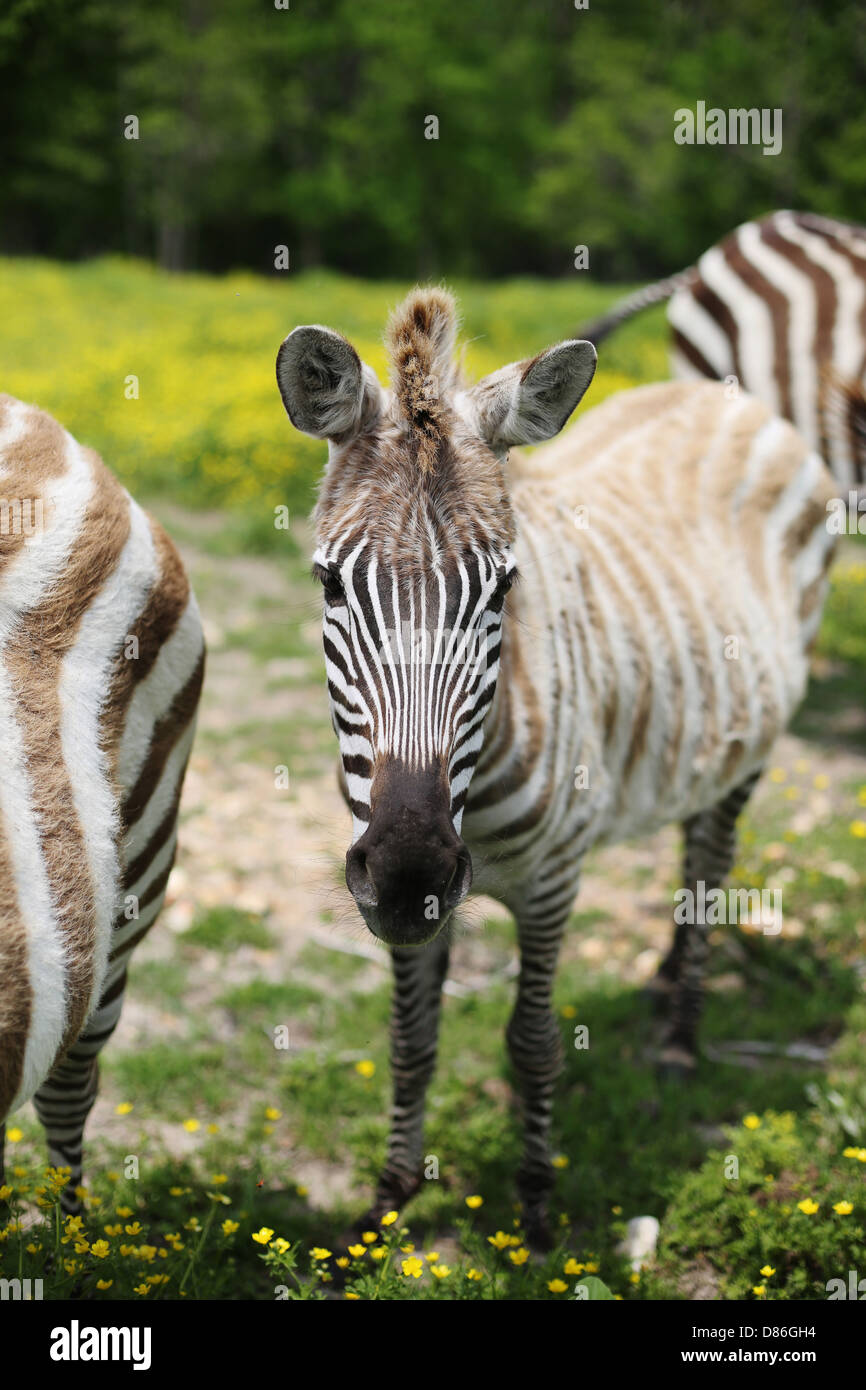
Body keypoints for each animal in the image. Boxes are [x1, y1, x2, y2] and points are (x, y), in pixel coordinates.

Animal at [276, 288, 837, 1246]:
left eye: (503, 589)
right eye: (329, 585)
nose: (407, 871)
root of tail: (730, 396)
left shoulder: (553, 883)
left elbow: (533, 1043)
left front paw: (537, 1208)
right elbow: (410, 1041)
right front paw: (390, 1200)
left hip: (754, 749)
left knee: (711, 860)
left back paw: (680, 1038)